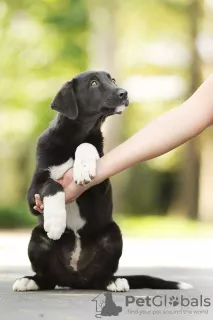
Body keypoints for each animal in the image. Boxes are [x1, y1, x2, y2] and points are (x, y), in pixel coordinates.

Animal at [12, 71, 192, 292]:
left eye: (112, 80)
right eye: (93, 83)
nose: (124, 93)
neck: (75, 136)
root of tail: (74, 280)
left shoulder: (101, 186)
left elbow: (87, 145)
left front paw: (84, 167)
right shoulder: (33, 195)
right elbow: (52, 184)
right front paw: (55, 221)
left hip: (113, 235)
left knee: (100, 277)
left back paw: (114, 281)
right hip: (37, 238)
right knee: (48, 278)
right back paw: (30, 280)